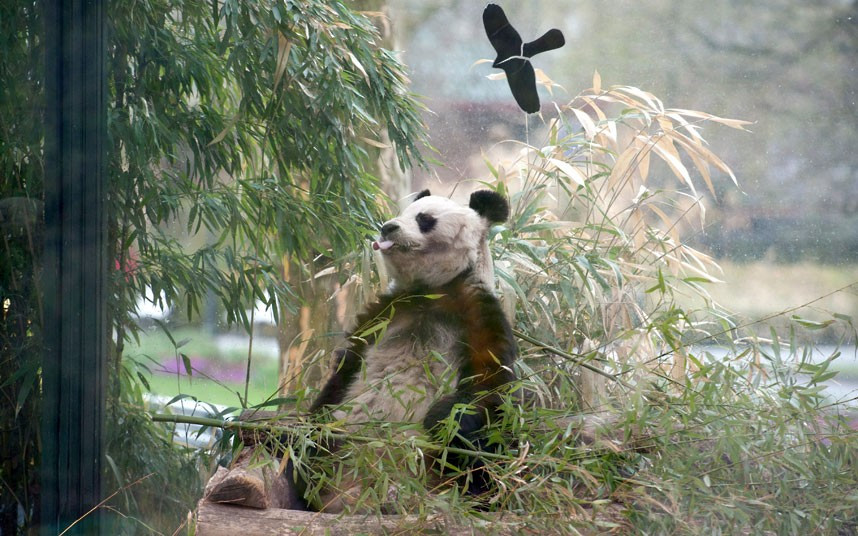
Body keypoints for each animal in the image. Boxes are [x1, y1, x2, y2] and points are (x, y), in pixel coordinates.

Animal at [301, 189, 517, 513]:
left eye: (424, 219)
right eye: (402, 213)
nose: (388, 227)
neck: (430, 291)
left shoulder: (477, 311)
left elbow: (489, 385)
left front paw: (442, 417)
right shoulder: (384, 313)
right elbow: (345, 369)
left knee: (482, 462)